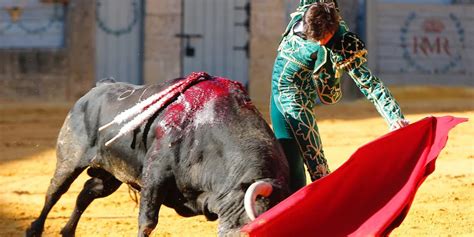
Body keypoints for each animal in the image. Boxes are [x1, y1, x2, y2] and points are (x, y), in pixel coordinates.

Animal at [27, 76, 290, 237]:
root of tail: (98, 88)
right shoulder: (155, 175)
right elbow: (147, 221)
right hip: (70, 159)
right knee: (55, 191)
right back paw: (34, 230)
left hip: (111, 175)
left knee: (87, 193)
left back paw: (67, 232)